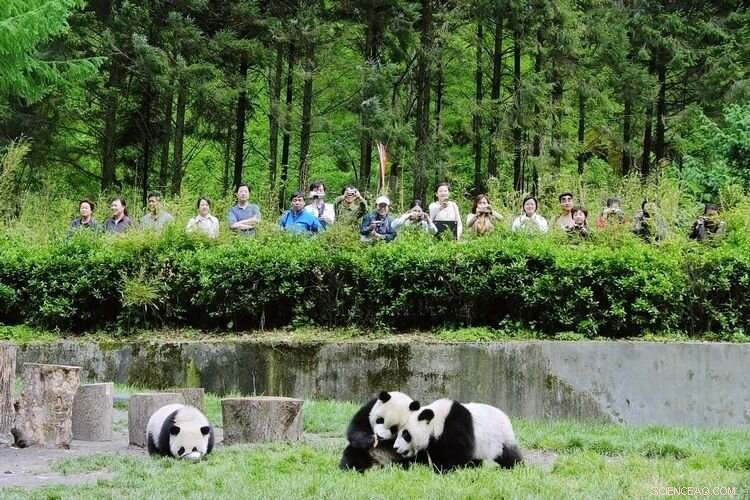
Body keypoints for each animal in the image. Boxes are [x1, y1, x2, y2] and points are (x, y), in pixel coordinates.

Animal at [393, 399, 522, 473]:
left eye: (405, 434)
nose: (395, 447)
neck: (438, 421)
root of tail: (506, 417)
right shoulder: (436, 441)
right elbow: (438, 454)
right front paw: (439, 469)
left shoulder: (456, 425)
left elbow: (460, 451)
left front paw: (449, 470)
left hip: (500, 438)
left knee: (508, 454)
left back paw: (514, 466)